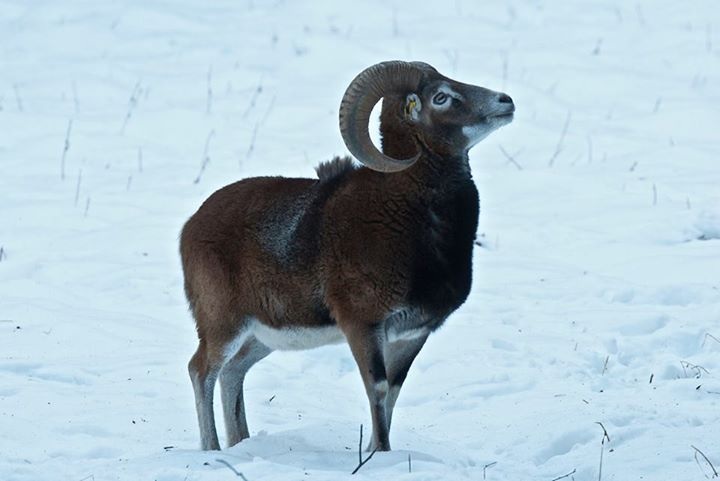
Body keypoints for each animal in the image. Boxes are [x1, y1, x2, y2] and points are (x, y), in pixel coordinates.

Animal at [180, 60, 515, 451]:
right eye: (441, 97)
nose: (505, 101)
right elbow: (378, 390)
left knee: (233, 372)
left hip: (261, 337)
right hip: (224, 326)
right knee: (202, 369)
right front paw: (380, 455)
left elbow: (393, 393)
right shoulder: (363, 325)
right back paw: (213, 450)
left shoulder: (410, 335)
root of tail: (191, 226)